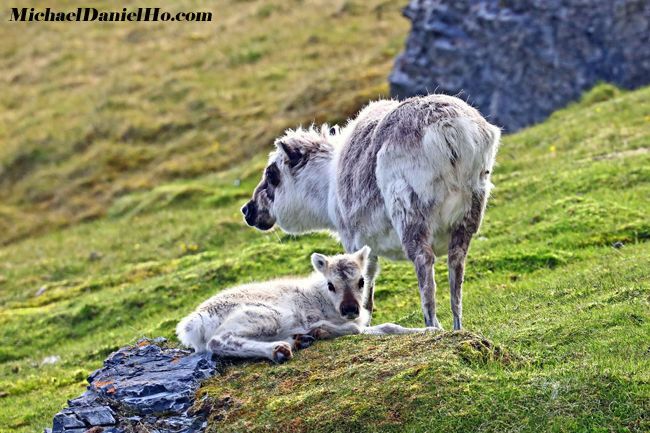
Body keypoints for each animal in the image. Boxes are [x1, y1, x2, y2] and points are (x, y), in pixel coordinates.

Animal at [176, 246, 436, 362]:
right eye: (331, 284)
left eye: (361, 281)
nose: (350, 309)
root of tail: (194, 322)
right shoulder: (314, 317)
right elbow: (356, 329)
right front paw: (321, 331)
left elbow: (388, 327)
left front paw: (429, 329)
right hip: (266, 316)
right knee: (217, 341)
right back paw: (279, 349)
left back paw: (298, 340)